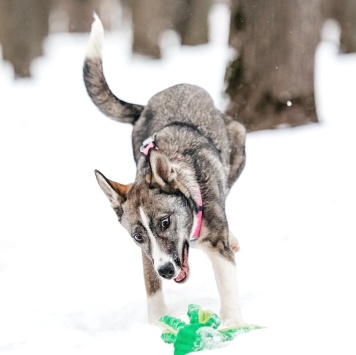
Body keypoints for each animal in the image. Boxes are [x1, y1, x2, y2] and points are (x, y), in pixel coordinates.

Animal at [82, 16, 246, 326]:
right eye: (137, 236)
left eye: (165, 222)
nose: (167, 271)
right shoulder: (148, 256)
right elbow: (152, 288)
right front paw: (157, 325)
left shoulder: (217, 247)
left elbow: (229, 286)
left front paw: (232, 325)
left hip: (239, 141)